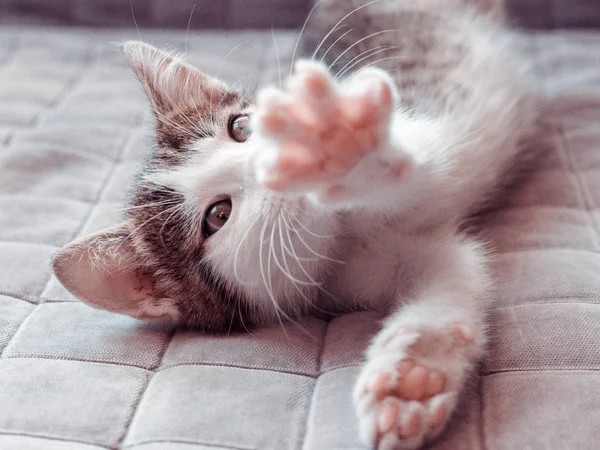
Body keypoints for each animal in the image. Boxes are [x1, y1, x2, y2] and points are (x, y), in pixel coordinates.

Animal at [54, 1, 536, 448]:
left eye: (242, 127)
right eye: (218, 215)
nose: (270, 158)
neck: (345, 230)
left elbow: (423, 159)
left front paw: (335, 141)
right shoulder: (349, 276)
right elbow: (453, 270)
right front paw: (414, 375)